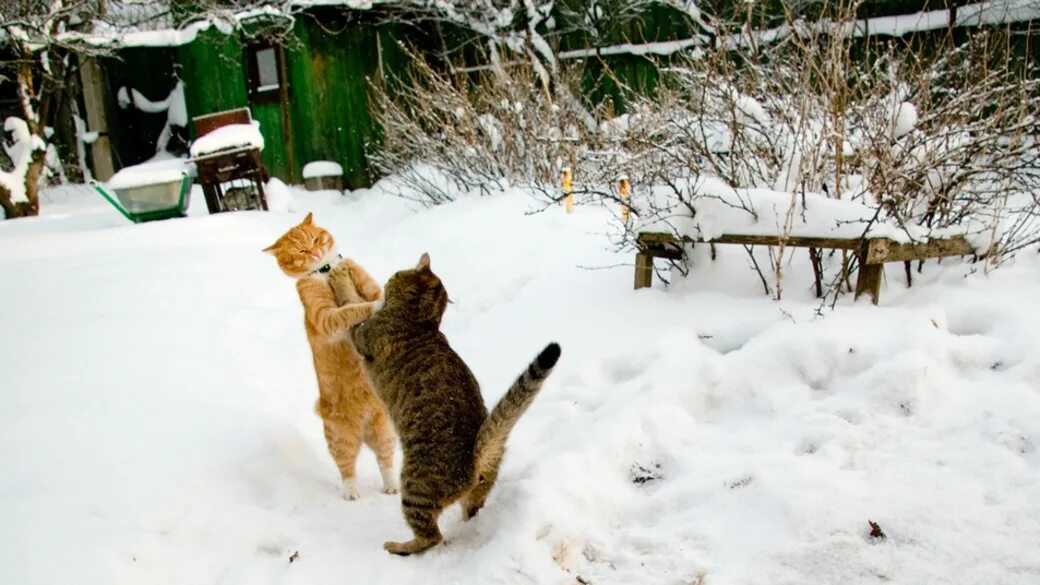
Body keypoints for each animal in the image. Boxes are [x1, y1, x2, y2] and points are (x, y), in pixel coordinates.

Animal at [262, 211, 399, 499]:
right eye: (301, 250)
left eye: (315, 239)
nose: (315, 253)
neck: (325, 272)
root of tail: (362, 432)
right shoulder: (325, 317)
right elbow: (351, 310)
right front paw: (371, 306)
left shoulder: (367, 281)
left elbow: (374, 291)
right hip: (340, 438)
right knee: (347, 467)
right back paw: (351, 492)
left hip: (384, 431)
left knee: (385, 461)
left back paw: (392, 485)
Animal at [349, 252, 561, 553]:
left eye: (395, 275)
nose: (386, 282)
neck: (420, 321)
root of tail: (475, 456)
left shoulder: (362, 336)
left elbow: (351, 318)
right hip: (475, 496)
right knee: (467, 515)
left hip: (414, 489)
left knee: (431, 537)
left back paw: (398, 546)